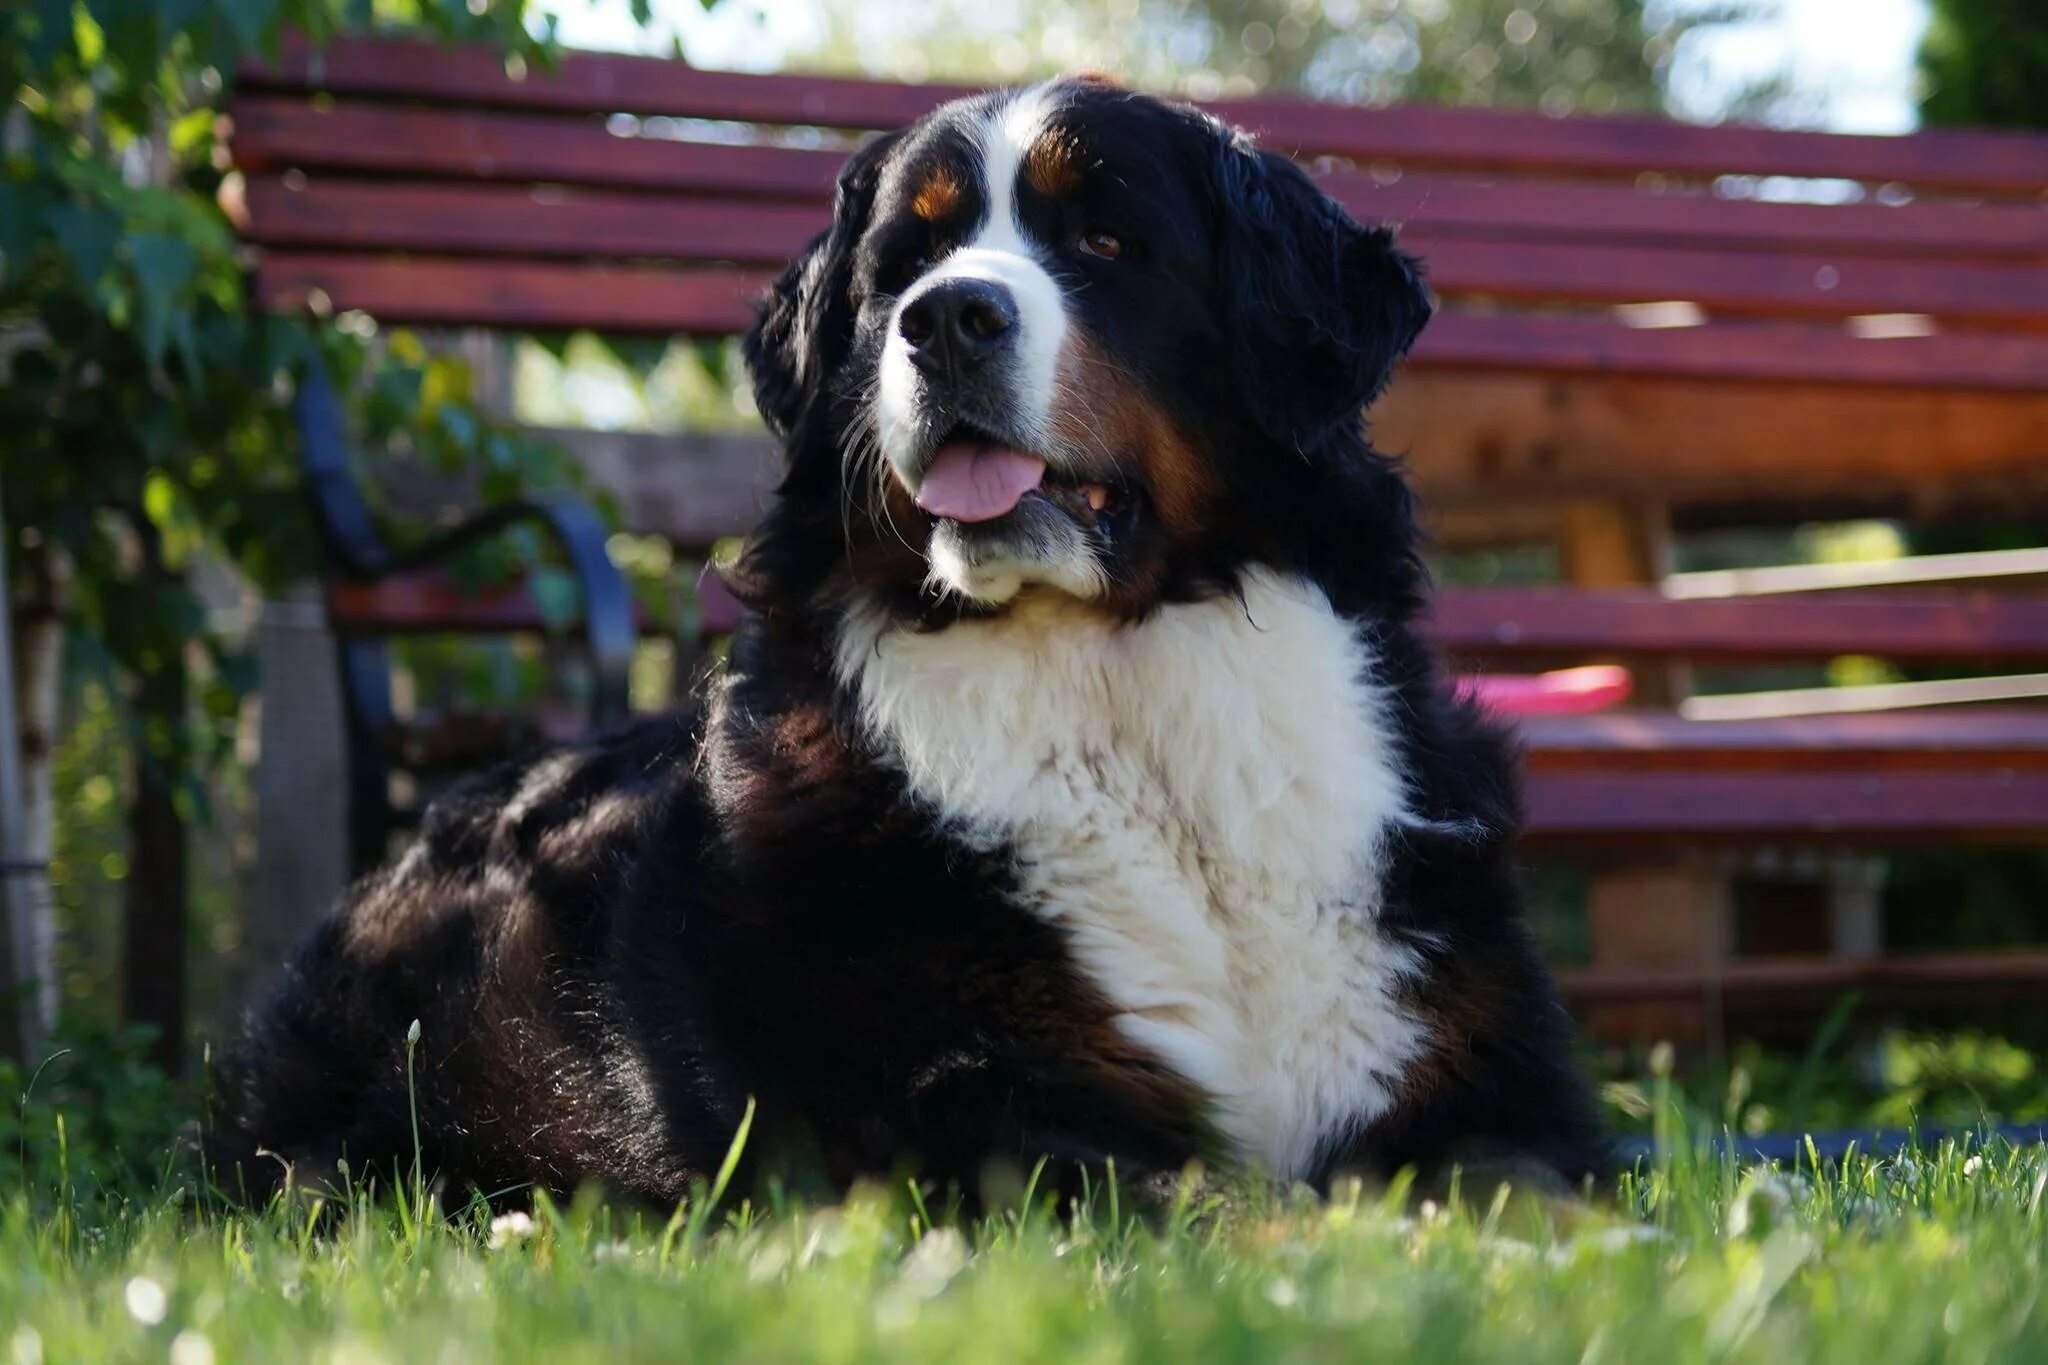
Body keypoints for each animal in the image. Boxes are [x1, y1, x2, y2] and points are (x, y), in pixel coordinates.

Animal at [216, 77, 1605, 1203]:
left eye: (1106, 239)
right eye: (907, 259)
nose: (943, 320)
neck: (1123, 689)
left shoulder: (1490, 1085)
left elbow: (1535, 1193)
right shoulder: (946, 1116)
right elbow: (1240, 1209)